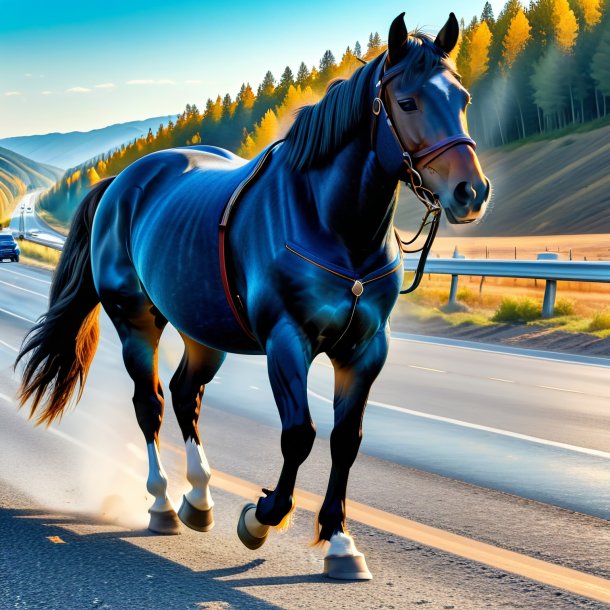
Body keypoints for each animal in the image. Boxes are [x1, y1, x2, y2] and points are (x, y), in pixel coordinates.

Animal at [16, 11, 486, 576]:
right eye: (409, 102)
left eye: (461, 98)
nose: (471, 192)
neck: (331, 224)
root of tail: (122, 182)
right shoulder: (288, 340)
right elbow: (300, 433)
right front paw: (262, 518)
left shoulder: (366, 350)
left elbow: (346, 440)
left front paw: (340, 541)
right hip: (136, 321)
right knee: (151, 403)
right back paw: (162, 503)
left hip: (203, 331)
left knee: (185, 395)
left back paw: (199, 499)